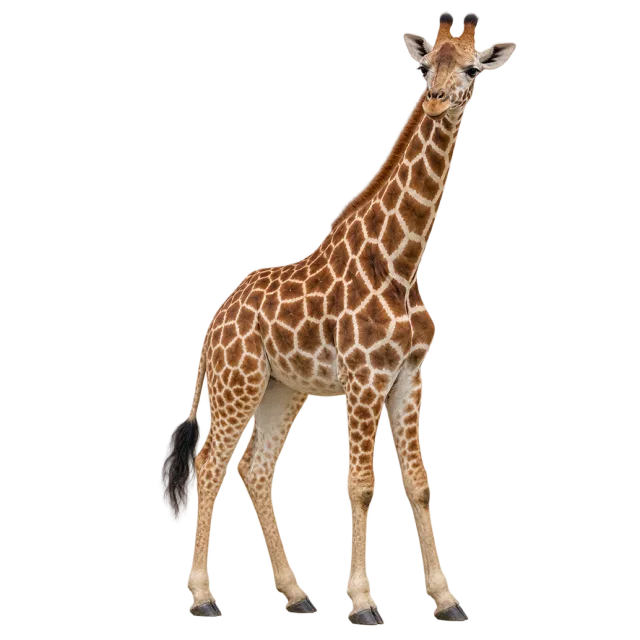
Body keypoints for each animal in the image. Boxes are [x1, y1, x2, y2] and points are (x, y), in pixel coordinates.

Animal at [159, 13, 517, 626]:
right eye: (427, 64)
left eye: (472, 68)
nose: (435, 100)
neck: (402, 262)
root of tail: (215, 320)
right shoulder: (365, 378)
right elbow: (360, 485)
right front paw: (362, 603)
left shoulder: (410, 377)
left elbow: (419, 484)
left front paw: (446, 601)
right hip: (238, 383)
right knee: (210, 463)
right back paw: (203, 599)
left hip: (283, 388)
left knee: (256, 467)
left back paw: (296, 593)